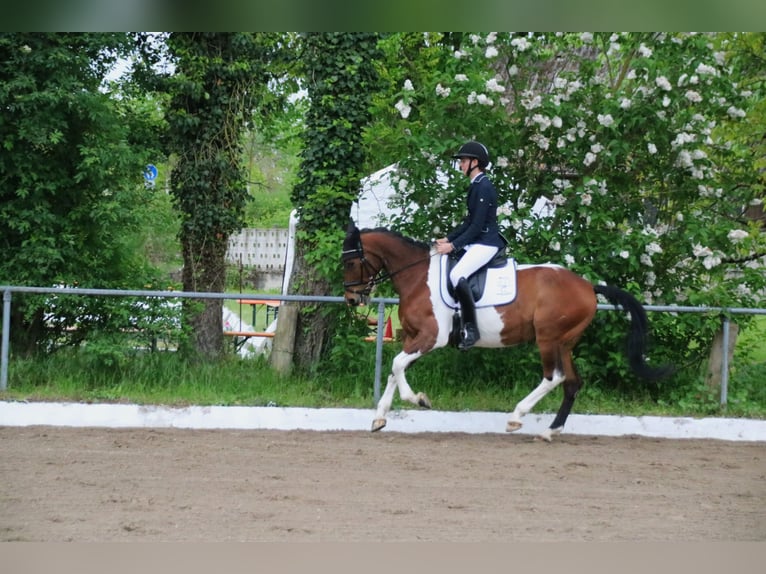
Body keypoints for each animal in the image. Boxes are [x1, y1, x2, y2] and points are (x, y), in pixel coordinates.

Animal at [342, 223, 672, 444]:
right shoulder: (412, 338)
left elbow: (397, 365)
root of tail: (588, 286)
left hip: (548, 338)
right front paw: (380, 417)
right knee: (572, 383)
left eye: (352, 261)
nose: (352, 300)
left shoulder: (431, 337)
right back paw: (550, 431)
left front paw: (419, 400)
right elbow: (393, 370)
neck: (417, 275)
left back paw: (516, 418)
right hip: (565, 341)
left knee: (554, 377)